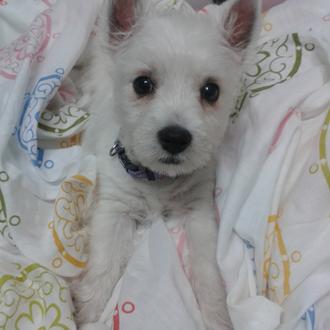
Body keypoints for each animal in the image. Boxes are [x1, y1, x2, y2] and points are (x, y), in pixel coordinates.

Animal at [73, 1, 260, 328]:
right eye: (142, 84)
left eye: (211, 90)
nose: (175, 138)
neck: (157, 177)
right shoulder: (114, 208)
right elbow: (104, 264)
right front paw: (90, 313)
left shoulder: (198, 211)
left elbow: (206, 268)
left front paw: (217, 316)